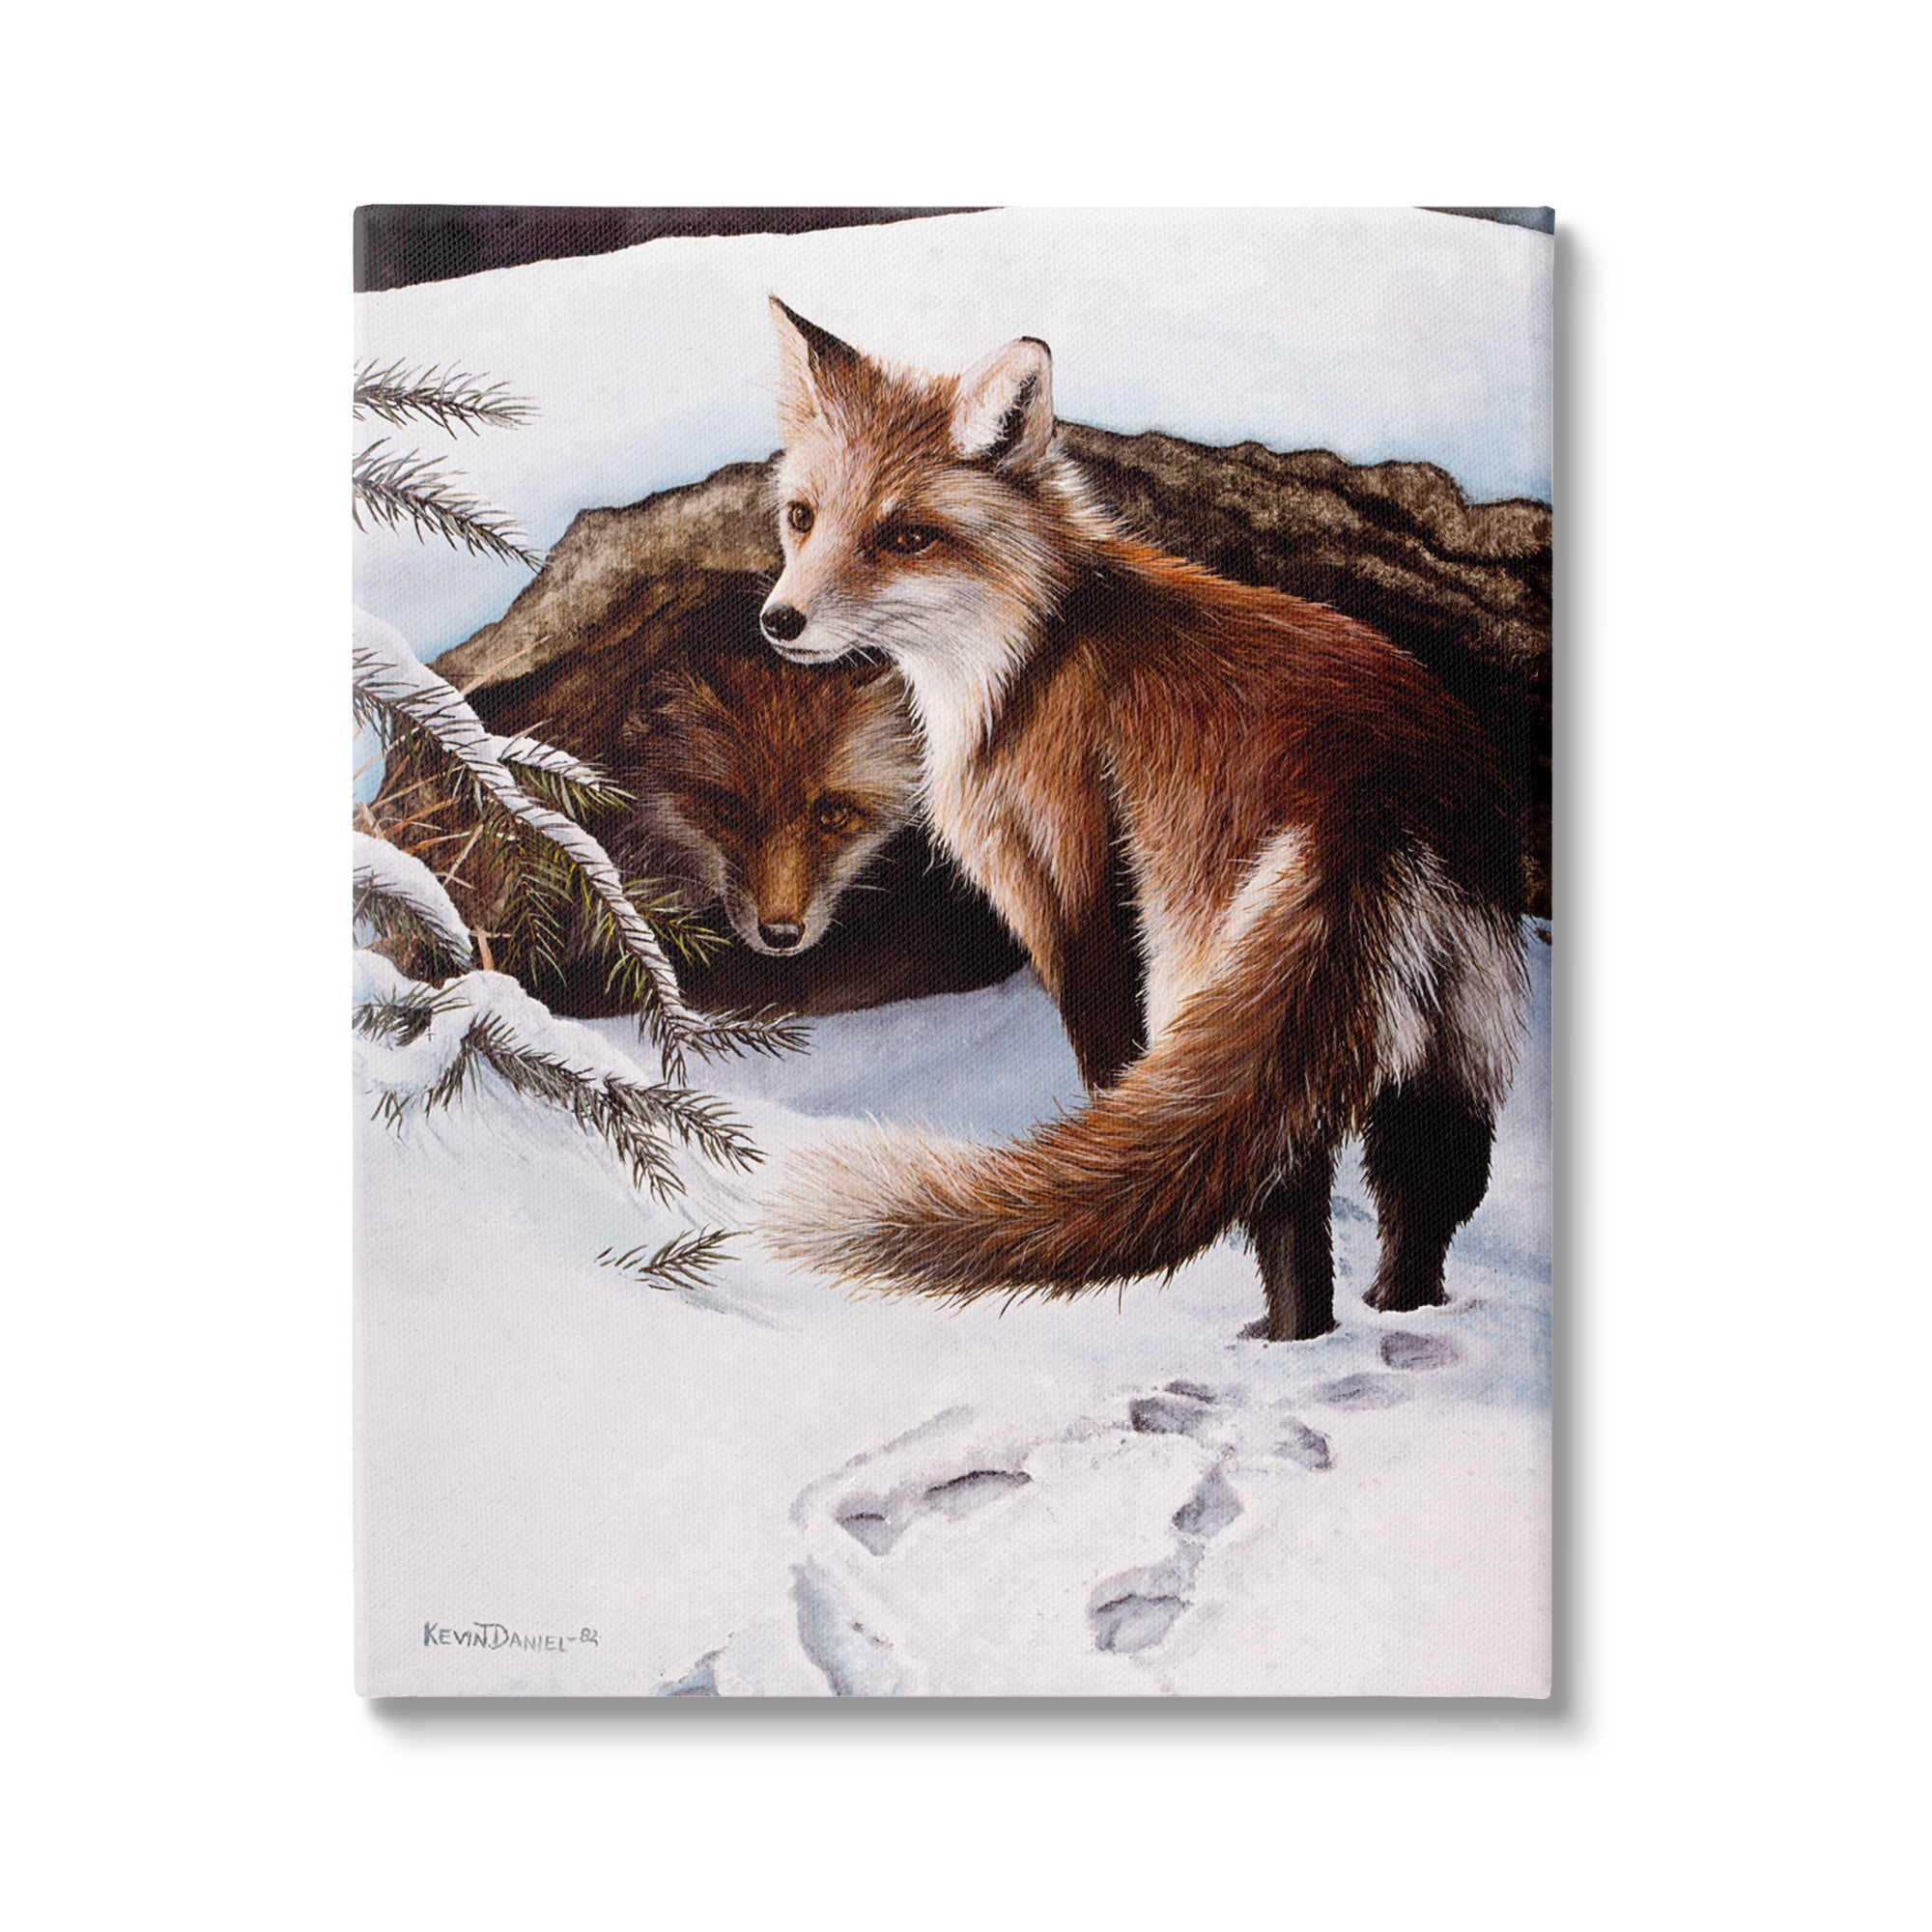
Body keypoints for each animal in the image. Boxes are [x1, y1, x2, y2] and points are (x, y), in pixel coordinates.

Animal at [755, 298, 1530, 1343]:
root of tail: (1374, 792)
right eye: (802, 517)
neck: (1030, 647)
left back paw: (1278, 1337)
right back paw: (1379, 1320)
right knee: (1422, 1195)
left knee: (1282, 1190)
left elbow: (1107, 1072)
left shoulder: (1062, 882)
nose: (779, 621)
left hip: (1208, 983)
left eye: (905, 536)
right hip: (1443, 1050)